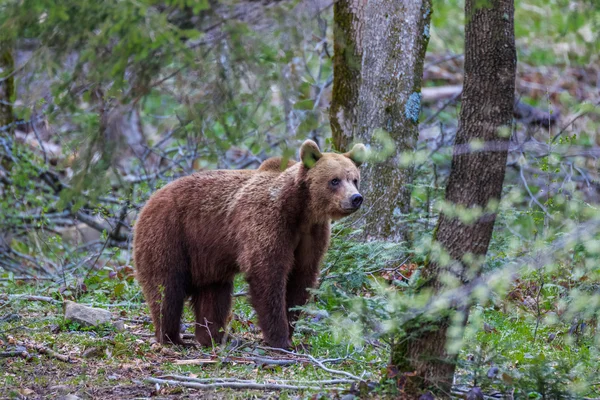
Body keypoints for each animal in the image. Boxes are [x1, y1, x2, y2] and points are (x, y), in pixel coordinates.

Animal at [133, 141, 364, 350]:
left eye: (354, 179)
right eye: (334, 180)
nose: (356, 198)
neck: (301, 211)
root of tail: (150, 199)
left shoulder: (311, 235)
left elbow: (301, 278)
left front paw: (291, 332)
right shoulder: (268, 222)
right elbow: (267, 274)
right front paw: (279, 338)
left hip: (207, 258)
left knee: (214, 295)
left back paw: (213, 337)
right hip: (169, 234)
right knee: (166, 288)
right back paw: (173, 338)